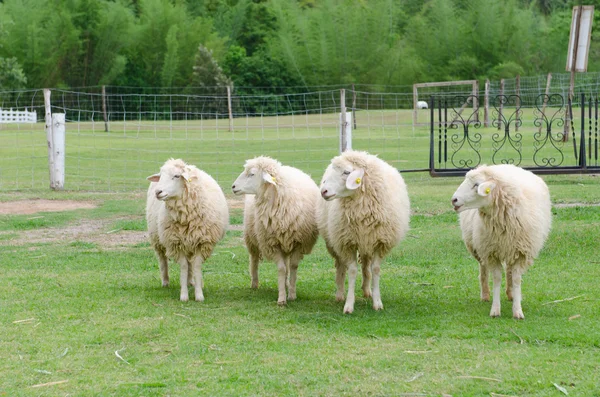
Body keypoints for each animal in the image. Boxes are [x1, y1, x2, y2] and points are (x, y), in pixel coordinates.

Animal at [146, 158, 229, 300]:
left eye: (176, 176)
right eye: (161, 176)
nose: (158, 192)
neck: (186, 217)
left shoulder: (202, 242)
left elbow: (196, 266)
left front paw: (199, 294)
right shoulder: (176, 243)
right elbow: (184, 267)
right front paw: (184, 295)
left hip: (189, 242)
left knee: (191, 264)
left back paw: (192, 281)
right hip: (157, 237)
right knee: (162, 260)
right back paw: (165, 281)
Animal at [232, 155, 322, 304]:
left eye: (252, 174)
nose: (233, 187)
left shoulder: (299, 242)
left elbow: (292, 267)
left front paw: (291, 294)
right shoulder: (272, 243)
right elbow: (281, 268)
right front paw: (281, 298)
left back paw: (285, 283)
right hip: (251, 236)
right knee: (254, 260)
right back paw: (254, 283)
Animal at [316, 151, 410, 312]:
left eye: (347, 172)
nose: (323, 191)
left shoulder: (380, 242)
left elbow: (376, 269)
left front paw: (377, 302)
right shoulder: (347, 243)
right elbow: (352, 270)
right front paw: (349, 304)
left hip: (366, 242)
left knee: (366, 266)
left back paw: (367, 291)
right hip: (335, 240)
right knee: (340, 266)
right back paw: (340, 294)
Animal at [450, 162, 552, 318]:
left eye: (476, 184)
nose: (454, 200)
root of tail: (505, 165)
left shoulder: (522, 252)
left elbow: (516, 279)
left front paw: (517, 310)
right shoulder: (491, 253)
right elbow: (497, 278)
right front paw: (495, 309)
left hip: (511, 248)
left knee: (509, 271)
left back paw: (511, 294)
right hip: (479, 248)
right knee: (483, 269)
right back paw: (485, 294)